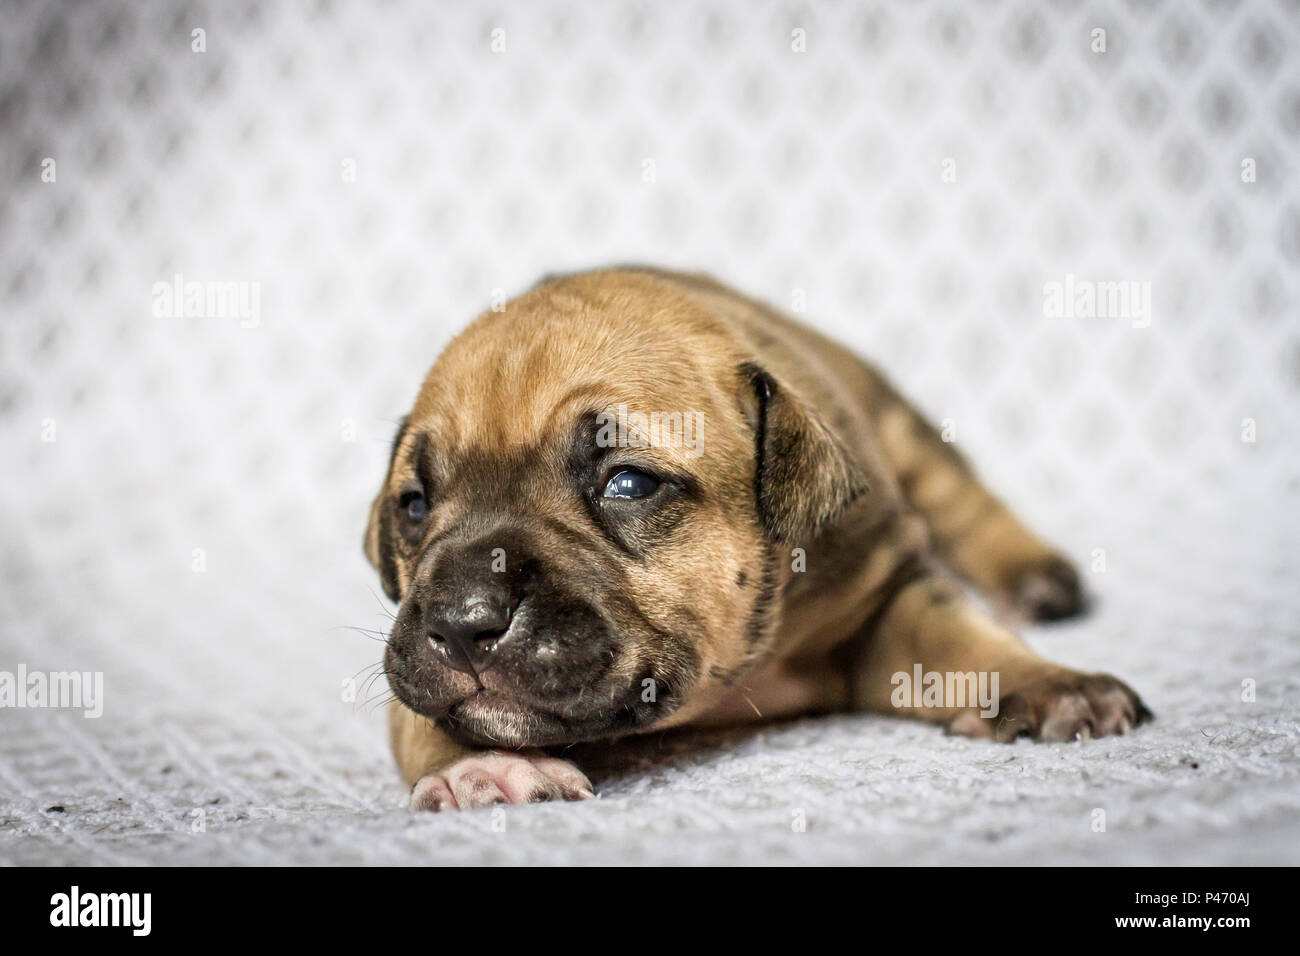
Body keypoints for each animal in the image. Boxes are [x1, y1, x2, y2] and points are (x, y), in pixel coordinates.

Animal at [366, 265, 1149, 811]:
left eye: (628, 484)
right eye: (414, 505)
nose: (461, 623)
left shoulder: (883, 594)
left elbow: (962, 639)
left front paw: (1050, 684)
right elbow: (420, 716)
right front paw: (477, 766)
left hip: (902, 423)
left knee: (959, 495)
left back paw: (1035, 577)